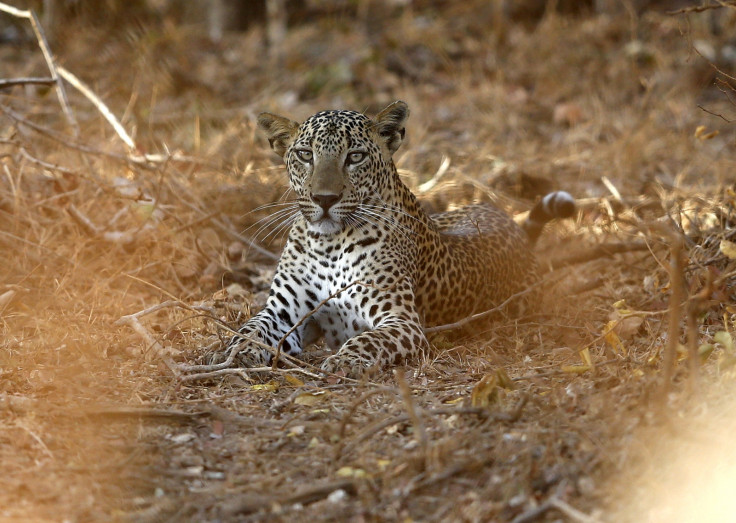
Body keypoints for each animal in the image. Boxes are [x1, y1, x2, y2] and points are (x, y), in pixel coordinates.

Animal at [210, 100, 576, 376]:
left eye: (355, 157)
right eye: (305, 155)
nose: (324, 199)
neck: (328, 245)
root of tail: (512, 225)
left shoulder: (401, 322)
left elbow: (367, 340)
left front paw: (346, 360)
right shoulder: (282, 312)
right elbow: (251, 327)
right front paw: (235, 350)